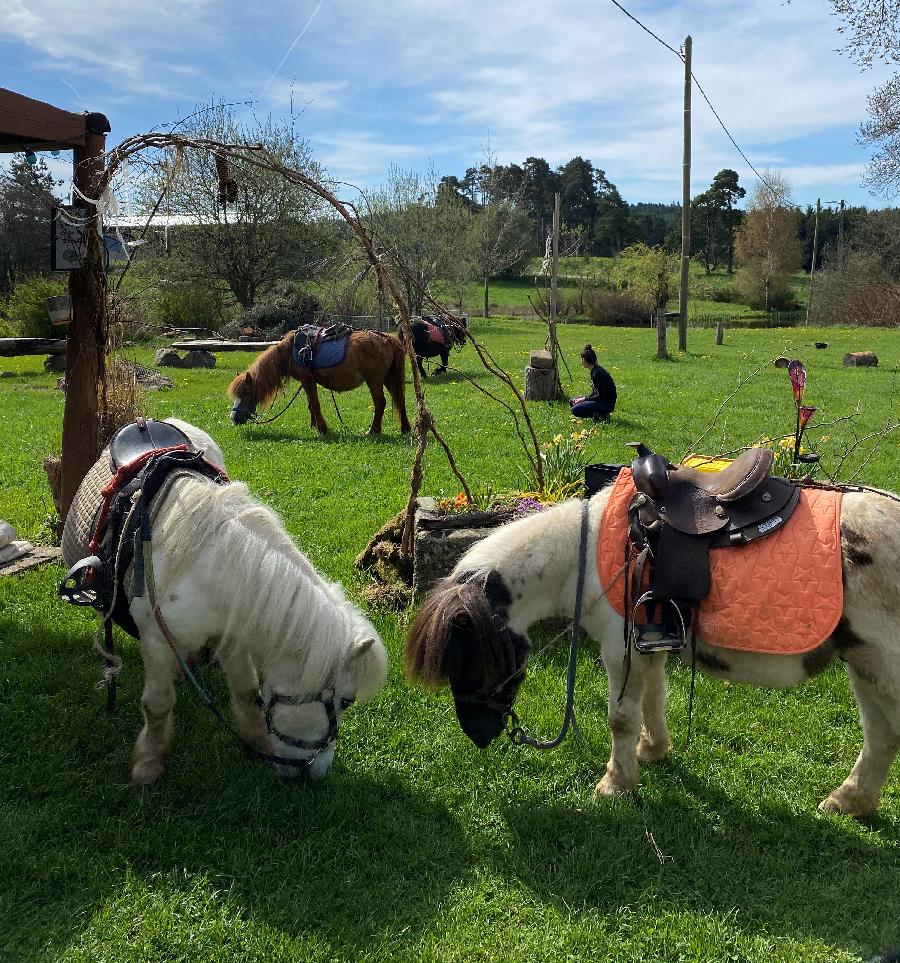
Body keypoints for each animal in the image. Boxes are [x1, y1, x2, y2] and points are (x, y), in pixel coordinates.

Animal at [63, 420, 386, 784]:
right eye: (346, 701)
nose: (315, 772)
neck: (203, 569)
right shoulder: (156, 641)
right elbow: (157, 704)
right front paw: (148, 764)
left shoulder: (232, 635)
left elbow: (247, 692)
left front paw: (257, 741)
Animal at [227, 332, 410, 436]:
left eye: (245, 393)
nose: (234, 419)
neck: (290, 352)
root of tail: (388, 338)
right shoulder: (308, 382)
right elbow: (310, 404)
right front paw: (313, 425)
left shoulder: (307, 380)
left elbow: (315, 404)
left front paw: (322, 429)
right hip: (389, 379)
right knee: (400, 399)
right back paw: (405, 428)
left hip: (375, 380)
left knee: (380, 403)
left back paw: (373, 431)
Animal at [408, 486, 900, 816]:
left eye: (472, 658)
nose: (479, 735)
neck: (587, 556)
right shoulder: (652, 644)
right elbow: (652, 699)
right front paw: (652, 750)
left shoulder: (620, 650)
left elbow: (621, 717)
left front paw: (616, 783)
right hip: (864, 668)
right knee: (881, 737)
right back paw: (850, 800)